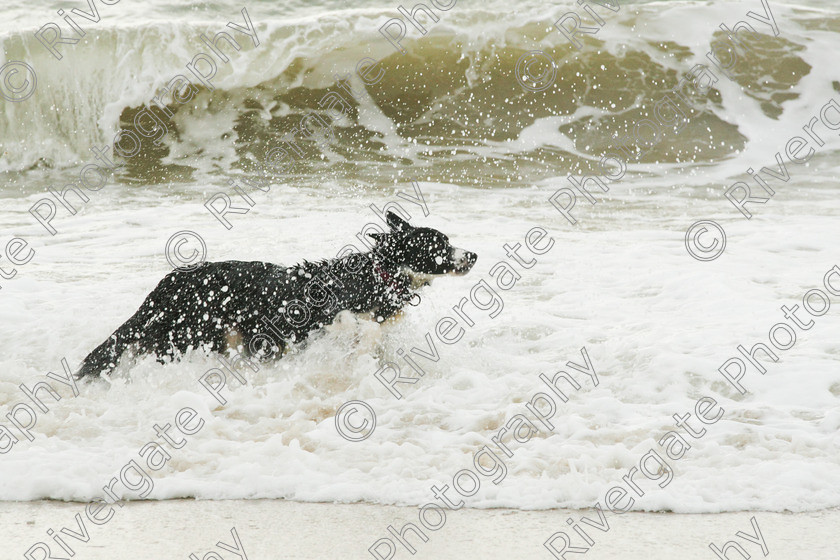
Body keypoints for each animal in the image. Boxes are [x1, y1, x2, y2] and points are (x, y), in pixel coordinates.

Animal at [77, 212, 480, 378]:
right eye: (439, 245)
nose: (474, 254)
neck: (379, 274)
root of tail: (166, 284)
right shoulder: (323, 318)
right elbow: (357, 328)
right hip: (190, 334)